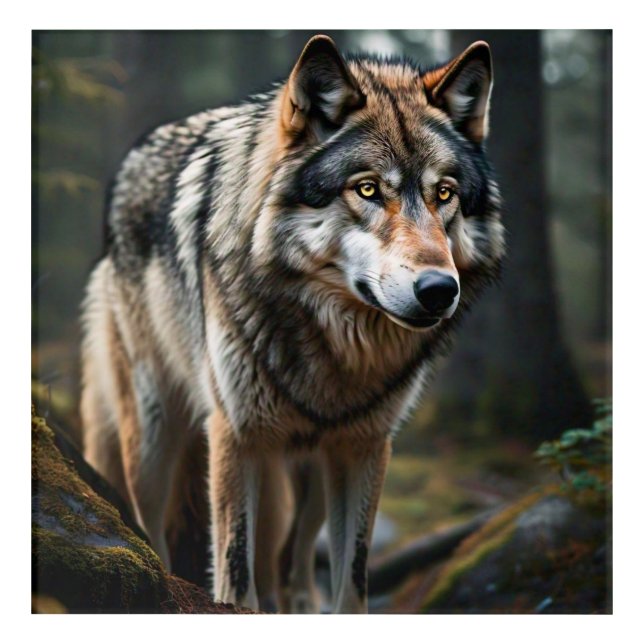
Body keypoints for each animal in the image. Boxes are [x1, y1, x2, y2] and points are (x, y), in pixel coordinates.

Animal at [80, 34, 504, 614]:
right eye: (367, 190)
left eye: (445, 194)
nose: (439, 289)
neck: (336, 344)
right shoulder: (236, 434)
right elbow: (237, 574)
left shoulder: (364, 444)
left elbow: (352, 580)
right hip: (151, 434)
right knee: (153, 529)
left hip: (308, 468)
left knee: (297, 556)